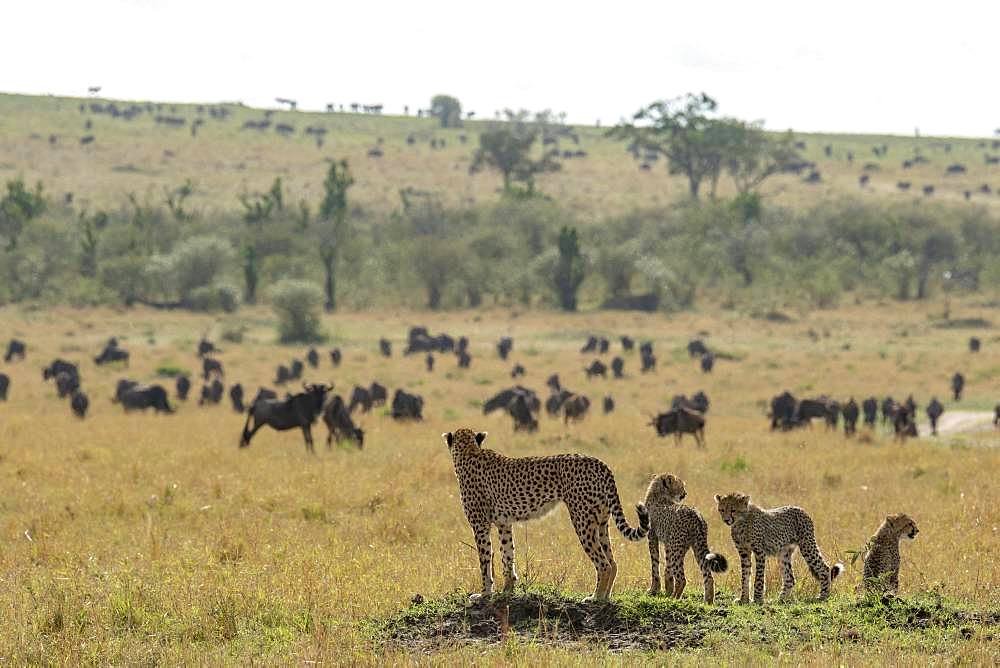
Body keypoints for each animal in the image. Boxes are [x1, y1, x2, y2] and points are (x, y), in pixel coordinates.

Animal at [444, 430, 648, 604]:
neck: (469, 451)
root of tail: (598, 462)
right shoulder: (504, 523)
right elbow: (507, 554)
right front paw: (507, 591)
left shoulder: (480, 525)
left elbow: (485, 560)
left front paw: (485, 594)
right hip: (601, 521)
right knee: (613, 563)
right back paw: (605, 596)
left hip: (582, 520)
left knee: (604, 564)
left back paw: (595, 597)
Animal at [648, 470, 728, 604]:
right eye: (681, 486)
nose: (685, 493)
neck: (659, 493)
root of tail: (695, 514)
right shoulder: (668, 543)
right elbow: (667, 567)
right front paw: (667, 590)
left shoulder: (653, 537)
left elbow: (655, 564)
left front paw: (654, 589)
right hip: (695, 546)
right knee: (708, 576)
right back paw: (708, 602)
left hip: (678, 548)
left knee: (682, 578)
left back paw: (675, 598)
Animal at [712, 490, 844, 604]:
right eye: (722, 510)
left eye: (733, 510)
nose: (726, 520)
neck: (740, 522)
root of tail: (800, 509)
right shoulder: (744, 552)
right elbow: (745, 576)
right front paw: (743, 599)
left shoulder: (759, 552)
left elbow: (759, 578)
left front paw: (758, 599)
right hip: (784, 552)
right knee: (790, 578)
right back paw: (781, 599)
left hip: (807, 545)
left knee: (824, 568)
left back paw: (823, 596)